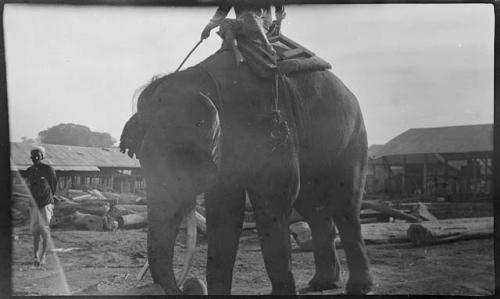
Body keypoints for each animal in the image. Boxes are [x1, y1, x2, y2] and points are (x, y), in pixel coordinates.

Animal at [120, 49, 372, 296]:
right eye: (142, 159)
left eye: (183, 158)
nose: (189, 287)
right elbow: (224, 210)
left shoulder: (269, 129)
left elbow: (273, 200)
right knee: (314, 209)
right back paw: (322, 283)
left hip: (353, 140)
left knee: (346, 205)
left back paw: (358, 287)